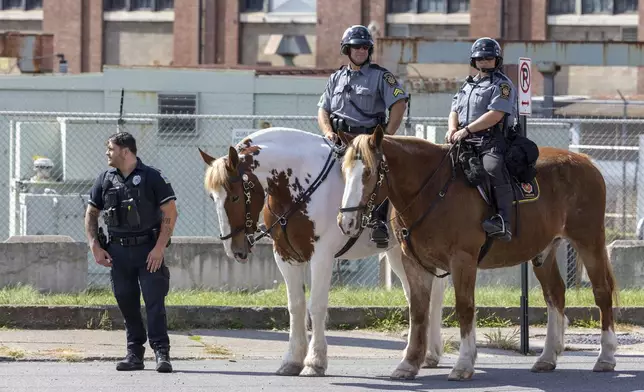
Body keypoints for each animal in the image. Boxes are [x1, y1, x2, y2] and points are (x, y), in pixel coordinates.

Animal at [199, 128, 450, 376]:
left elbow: (316, 306)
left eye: (234, 196)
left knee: (434, 296)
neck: (298, 184)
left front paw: (314, 361)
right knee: (415, 296)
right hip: (398, 254)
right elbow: (296, 306)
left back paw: (430, 353)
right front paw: (292, 360)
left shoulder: (321, 256)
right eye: (212, 197)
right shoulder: (285, 256)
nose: (235, 249)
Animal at [338, 128, 620, 380]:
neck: (432, 191)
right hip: (545, 252)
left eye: (368, 172)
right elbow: (418, 312)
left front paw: (463, 364)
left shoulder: (463, 260)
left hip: (589, 242)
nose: (346, 221)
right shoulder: (413, 262)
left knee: (602, 293)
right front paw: (408, 365)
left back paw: (605, 357)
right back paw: (548, 357)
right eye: (343, 171)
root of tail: (584, 160)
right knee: (555, 295)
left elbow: (465, 308)